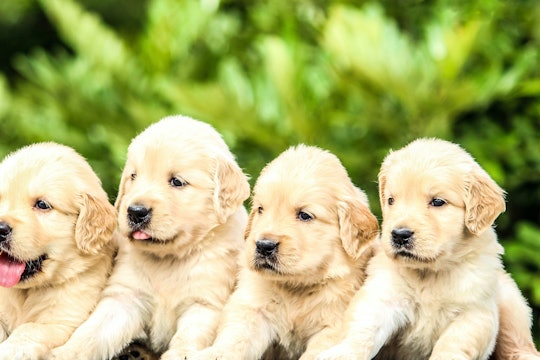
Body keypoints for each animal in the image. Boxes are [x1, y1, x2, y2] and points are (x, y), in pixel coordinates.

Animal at [0, 142, 117, 358]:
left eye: (42, 204)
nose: (0, 229)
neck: (28, 293)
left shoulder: (62, 322)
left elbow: (29, 329)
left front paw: (9, 351)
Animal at [50, 116, 249, 360]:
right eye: (133, 176)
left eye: (177, 181)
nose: (136, 212)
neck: (169, 259)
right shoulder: (125, 296)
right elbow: (92, 331)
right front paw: (64, 352)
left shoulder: (205, 303)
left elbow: (187, 338)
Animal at [190, 144, 380, 360]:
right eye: (261, 209)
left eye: (304, 215)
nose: (264, 245)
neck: (296, 287)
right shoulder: (253, 309)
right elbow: (235, 339)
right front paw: (213, 353)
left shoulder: (333, 325)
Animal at [318, 138, 536, 360]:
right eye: (391, 200)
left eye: (438, 202)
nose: (399, 235)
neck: (430, 273)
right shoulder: (384, 295)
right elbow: (364, 329)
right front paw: (342, 352)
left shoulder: (475, 312)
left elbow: (452, 344)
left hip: (511, 302)